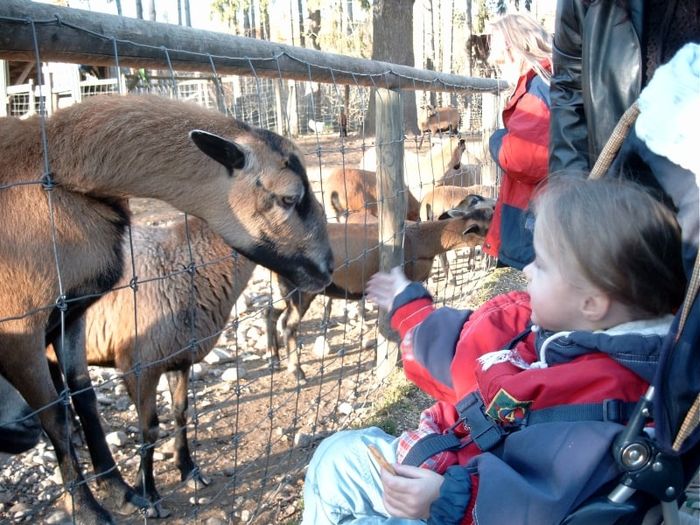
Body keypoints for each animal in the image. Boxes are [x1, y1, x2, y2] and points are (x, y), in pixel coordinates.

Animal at [47, 216, 258, 516]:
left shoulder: (179, 358)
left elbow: (181, 412)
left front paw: (189, 469)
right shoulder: (138, 366)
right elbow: (149, 429)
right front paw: (148, 492)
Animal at [266, 206, 492, 380]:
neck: (422, 240)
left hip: (281, 289)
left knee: (270, 313)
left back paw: (274, 358)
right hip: (299, 291)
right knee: (288, 325)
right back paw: (297, 373)